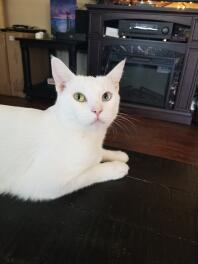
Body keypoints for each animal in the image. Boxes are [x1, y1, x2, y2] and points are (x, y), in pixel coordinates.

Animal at [0, 56, 128, 200]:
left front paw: (118, 154)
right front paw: (117, 167)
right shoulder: (42, 183)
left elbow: (101, 152)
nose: (97, 110)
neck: (87, 137)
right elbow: (91, 172)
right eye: (79, 97)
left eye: (106, 96)